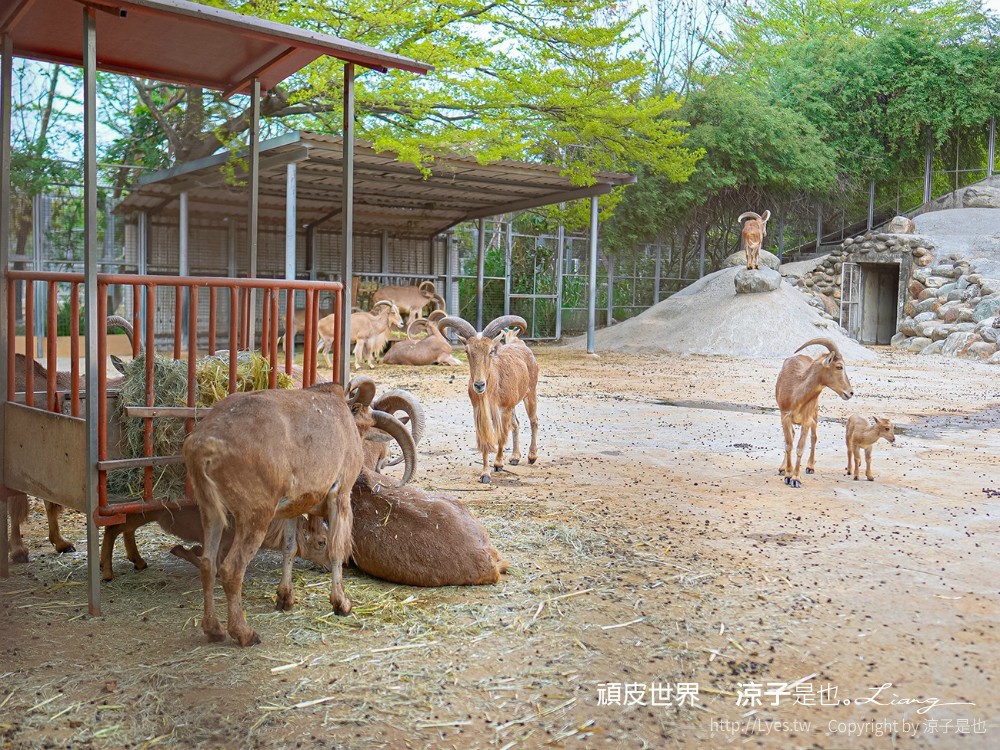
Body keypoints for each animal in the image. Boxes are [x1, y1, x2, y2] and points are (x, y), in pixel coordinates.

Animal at [183, 376, 415, 646]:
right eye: (365, 426)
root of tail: (205, 445)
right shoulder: (340, 496)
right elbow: (336, 548)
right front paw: (342, 604)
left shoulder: (292, 508)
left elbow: (290, 547)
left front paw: (285, 599)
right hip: (255, 516)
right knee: (231, 569)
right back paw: (244, 633)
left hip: (210, 511)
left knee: (207, 565)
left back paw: (213, 629)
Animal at [437, 314, 539, 483]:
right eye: (467, 351)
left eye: (491, 351)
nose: (479, 385)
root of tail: (523, 347)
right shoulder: (479, 412)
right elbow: (485, 440)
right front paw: (485, 474)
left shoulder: (503, 410)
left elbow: (501, 436)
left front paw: (498, 463)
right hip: (514, 404)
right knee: (516, 424)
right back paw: (515, 457)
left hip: (530, 394)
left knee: (533, 421)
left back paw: (532, 456)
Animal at [775, 338, 854, 488]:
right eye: (839, 367)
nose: (850, 392)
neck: (796, 391)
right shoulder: (785, 417)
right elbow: (788, 444)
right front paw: (788, 475)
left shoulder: (806, 419)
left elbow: (800, 447)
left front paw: (796, 478)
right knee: (792, 436)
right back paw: (782, 468)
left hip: (815, 413)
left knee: (814, 437)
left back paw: (810, 466)